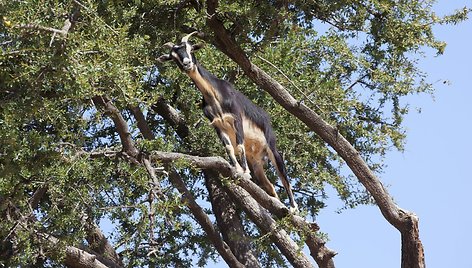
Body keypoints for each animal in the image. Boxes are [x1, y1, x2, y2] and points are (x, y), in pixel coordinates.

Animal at [159, 31, 298, 210]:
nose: (187, 64)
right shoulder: (218, 125)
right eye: (174, 57)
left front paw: (244, 172)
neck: (215, 95)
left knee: (283, 175)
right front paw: (238, 169)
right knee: (270, 186)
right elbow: (229, 148)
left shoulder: (236, 118)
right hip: (256, 162)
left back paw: (294, 208)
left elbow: (239, 146)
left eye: (190, 48)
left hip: (271, 147)